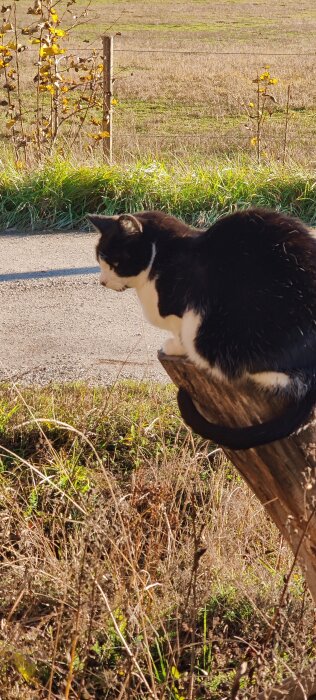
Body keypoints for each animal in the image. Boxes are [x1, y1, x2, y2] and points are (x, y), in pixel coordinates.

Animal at [87, 208, 316, 448]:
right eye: (99, 260)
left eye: (115, 263)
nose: (102, 281)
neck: (160, 258)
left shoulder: (183, 310)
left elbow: (178, 329)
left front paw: (175, 346)